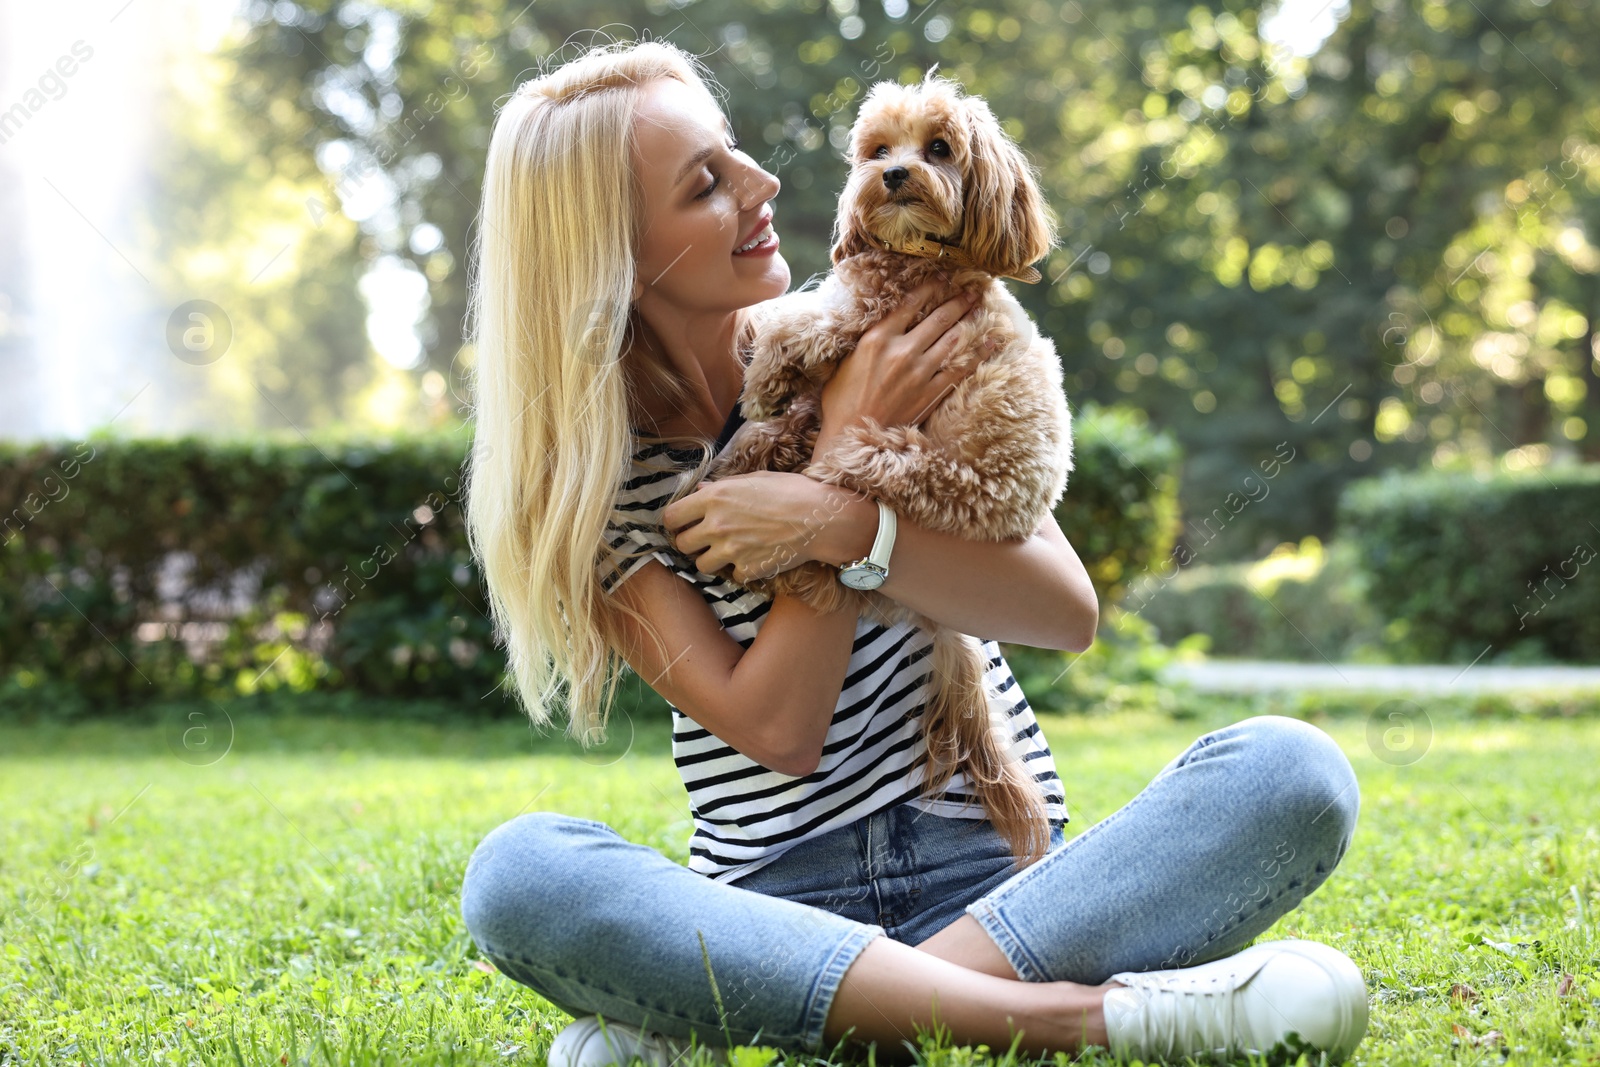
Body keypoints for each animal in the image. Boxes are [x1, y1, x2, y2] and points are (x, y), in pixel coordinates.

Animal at [704, 70, 1075, 870]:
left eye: (939, 148)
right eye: (877, 150)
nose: (895, 175)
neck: (921, 256)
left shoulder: (866, 312)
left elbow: (799, 320)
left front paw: (764, 378)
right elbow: (795, 326)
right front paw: (760, 406)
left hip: (901, 461)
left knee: (835, 487)